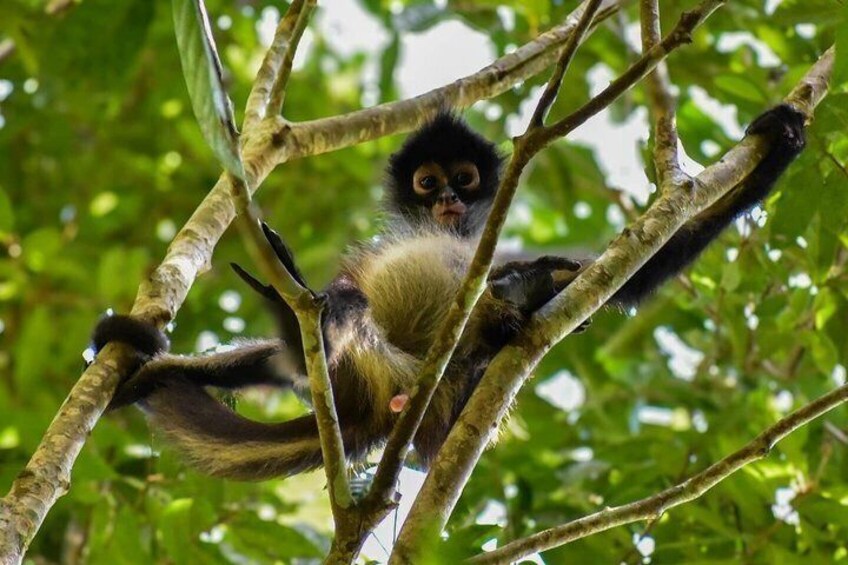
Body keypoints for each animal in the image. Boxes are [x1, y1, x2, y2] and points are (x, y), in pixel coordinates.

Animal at [93, 105, 806, 481]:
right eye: (427, 181)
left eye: (463, 178)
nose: (449, 201)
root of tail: (366, 412)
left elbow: (626, 272)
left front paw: (777, 148)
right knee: (331, 318)